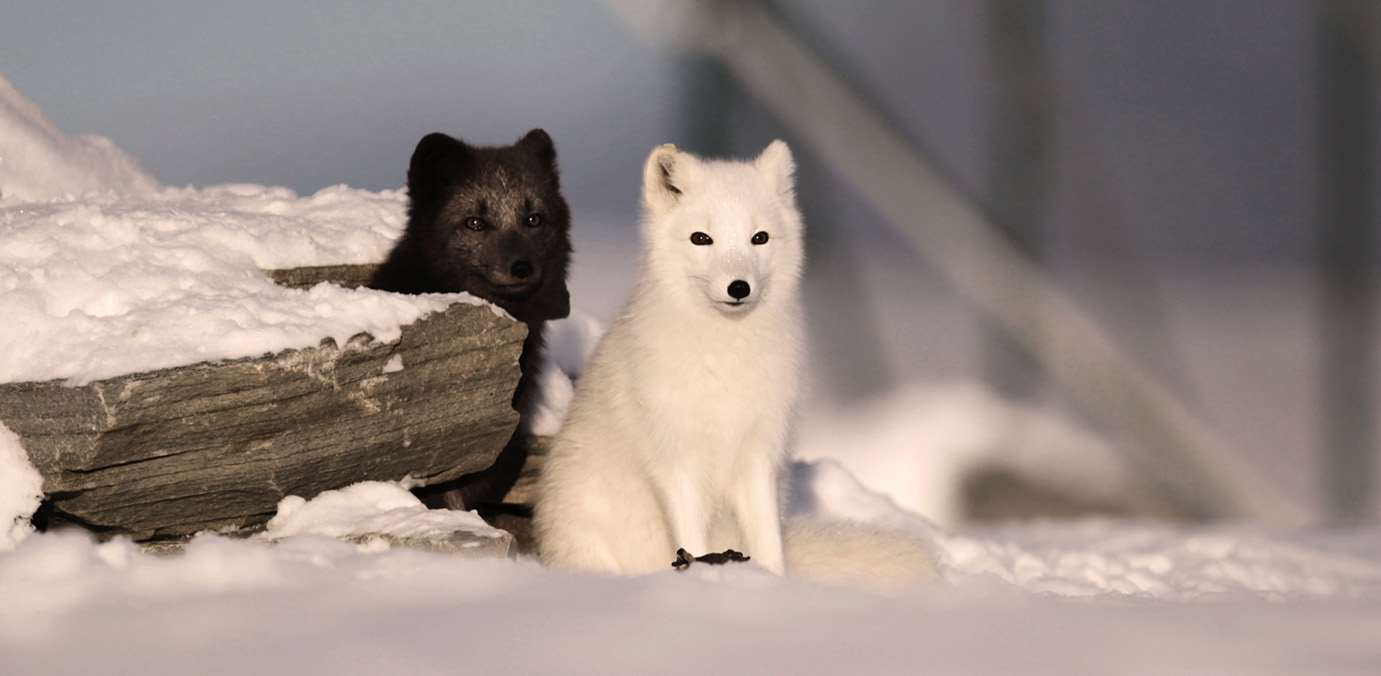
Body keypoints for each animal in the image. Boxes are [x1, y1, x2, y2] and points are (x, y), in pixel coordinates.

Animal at [533, 141, 933, 584]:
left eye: (759, 238)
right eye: (701, 238)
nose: (739, 287)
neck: (724, 360)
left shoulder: (758, 458)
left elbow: (768, 543)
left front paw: (773, 583)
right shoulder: (679, 462)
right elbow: (692, 542)